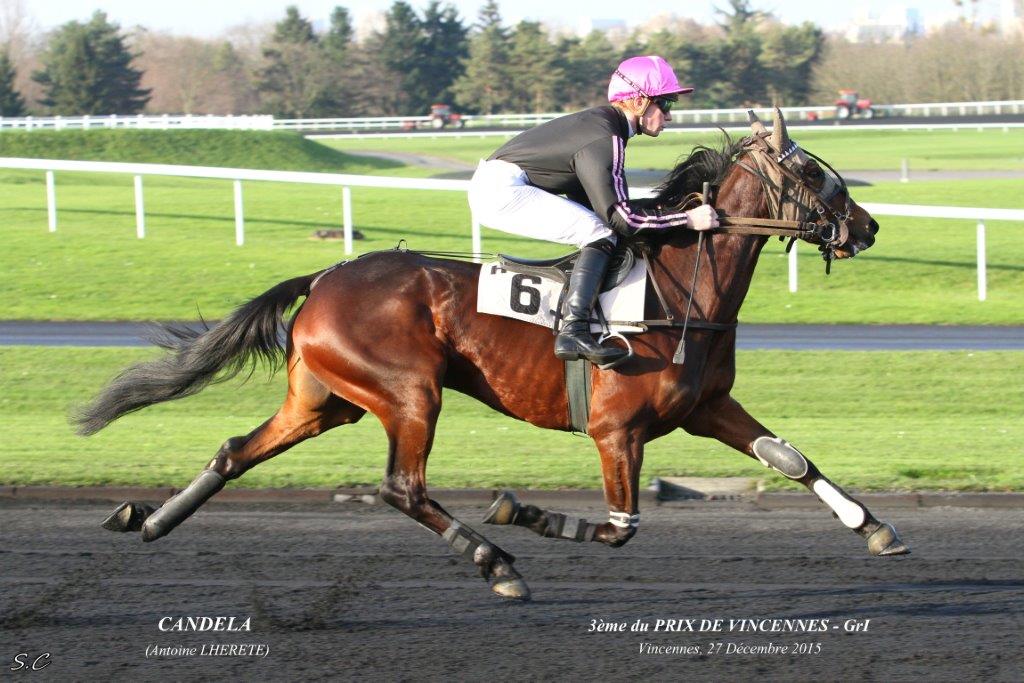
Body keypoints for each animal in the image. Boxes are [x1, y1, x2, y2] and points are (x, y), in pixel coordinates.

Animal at [81, 109, 913, 602]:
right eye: (811, 172)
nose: (868, 224)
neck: (682, 290)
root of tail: (322, 278)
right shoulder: (617, 431)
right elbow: (621, 524)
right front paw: (524, 510)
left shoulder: (707, 406)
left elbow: (792, 458)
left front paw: (875, 526)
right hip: (410, 394)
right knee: (403, 487)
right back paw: (497, 560)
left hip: (326, 401)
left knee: (235, 449)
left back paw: (151, 520)